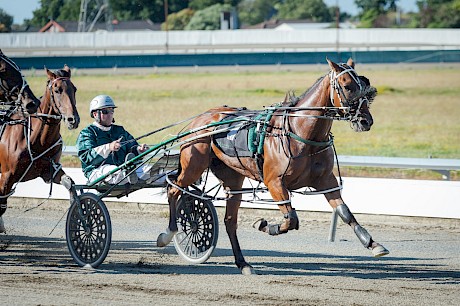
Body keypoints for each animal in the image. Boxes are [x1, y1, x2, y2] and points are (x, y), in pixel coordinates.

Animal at [0, 64, 80, 232]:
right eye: (57, 90)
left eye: (74, 89)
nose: (73, 119)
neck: (34, 138)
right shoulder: (6, 176)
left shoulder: (49, 172)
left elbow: (69, 183)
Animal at [157, 58, 388, 274]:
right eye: (347, 86)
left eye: (364, 83)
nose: (366, 121)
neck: (299, 131)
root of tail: (200, 119)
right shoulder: (274, 182)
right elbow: (291, 219)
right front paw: (266, 225)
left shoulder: (325, 180)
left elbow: (344, 211)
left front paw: (372, 243)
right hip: (193, 164)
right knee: (174, 189)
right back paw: (167, 234)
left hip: (233, 178)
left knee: (230, 221)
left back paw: (243, 263)